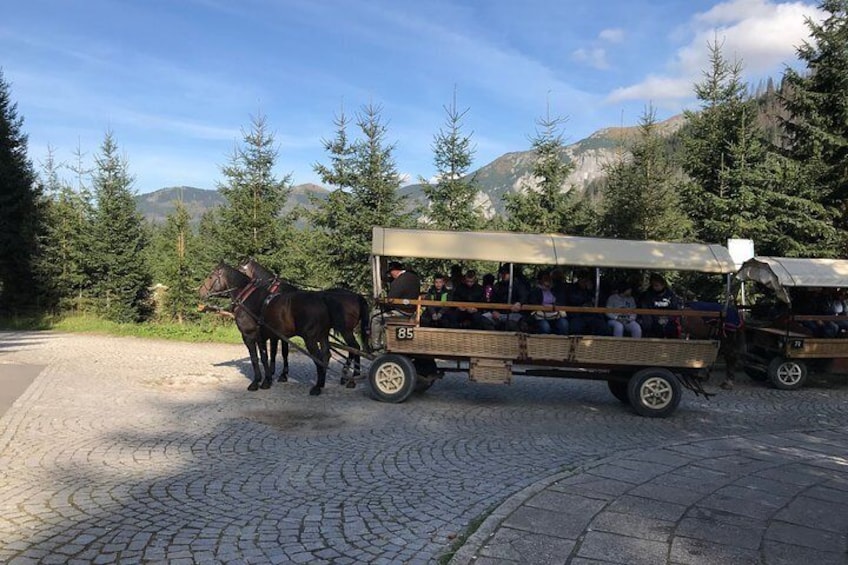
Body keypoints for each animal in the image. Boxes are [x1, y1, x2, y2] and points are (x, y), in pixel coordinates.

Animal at [199, 262, 332, 394]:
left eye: (210, 277)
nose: (200, 291)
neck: (248, 299)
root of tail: (321, 301)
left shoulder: (249, 335)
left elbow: (256, 358)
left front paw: (256, 382)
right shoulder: (265, 336)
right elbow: (266, 356)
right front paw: (268, 380)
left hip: (310, 339)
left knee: (318, 358)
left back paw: (317, 387)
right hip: (322, 336)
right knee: (326, 355)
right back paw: (322, 383)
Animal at [238, 256, 372, 386]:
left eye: (240, 269)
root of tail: (357, 296)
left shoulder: (276, 332)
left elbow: (277, 351)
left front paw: (277, 374)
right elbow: (282, 352)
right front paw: (281, 374)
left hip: (345, 330)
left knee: (355, 348)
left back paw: (352, 377)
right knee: (353, 349)